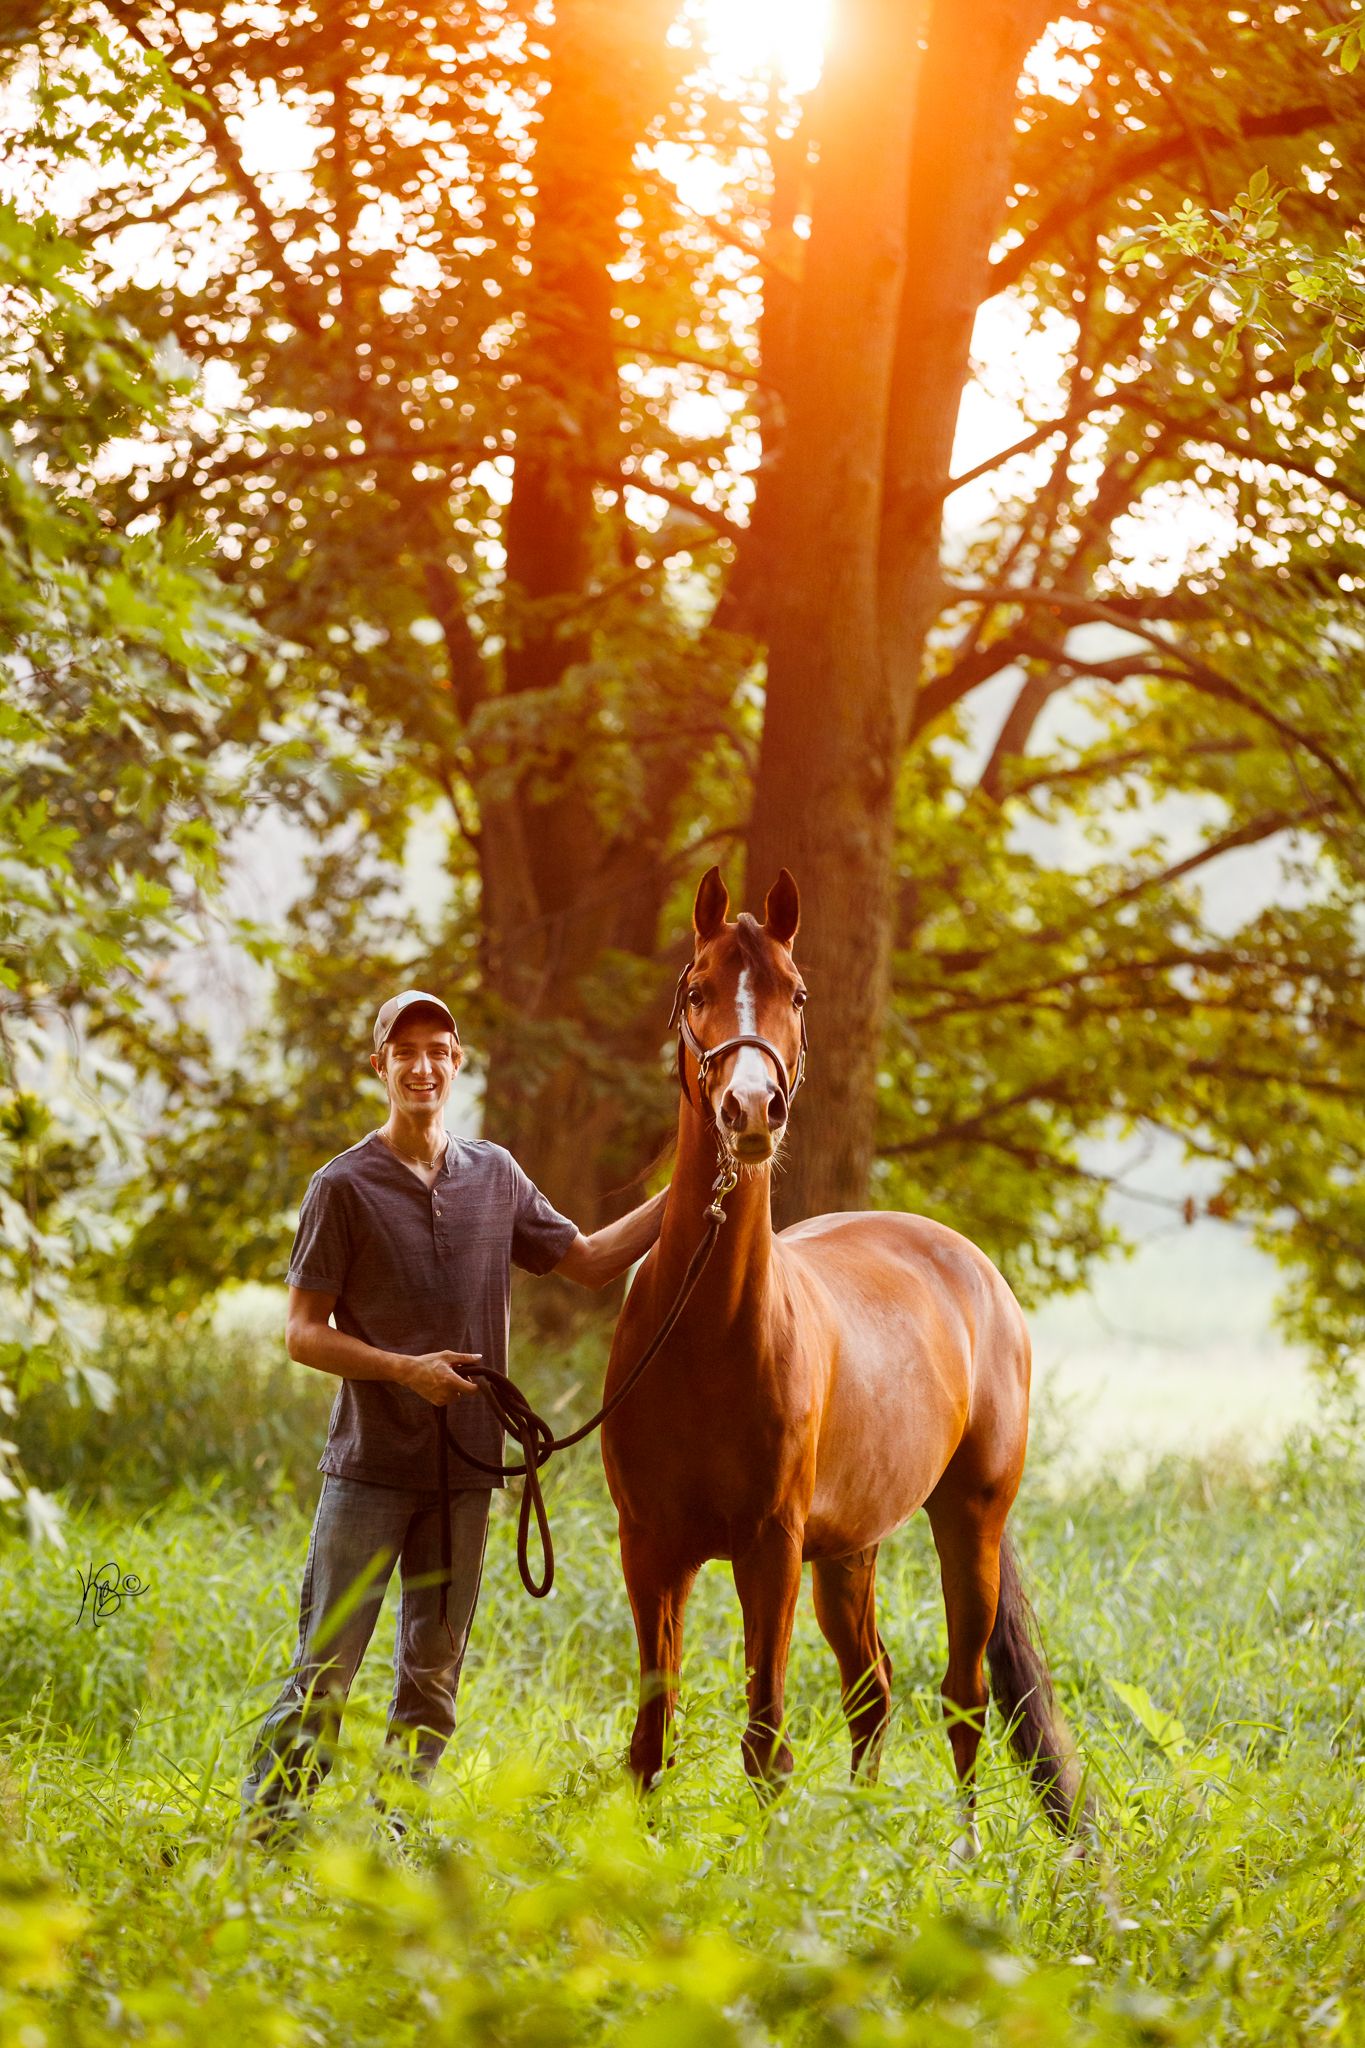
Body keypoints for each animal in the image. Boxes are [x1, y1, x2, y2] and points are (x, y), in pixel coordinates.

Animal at [600, 865, 1084, 1851]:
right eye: (696, 989)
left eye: (796, 993)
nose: (752, 1109)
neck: (707, 1336)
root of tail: (970, 1266)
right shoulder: (650, 1548)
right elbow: (650, 1739)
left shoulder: (769, 1549)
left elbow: (765, 1740)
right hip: (849, 1552)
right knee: (874, 1690)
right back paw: (859, 1842)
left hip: (965, 1523)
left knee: (962, 1697)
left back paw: (962, 1855)